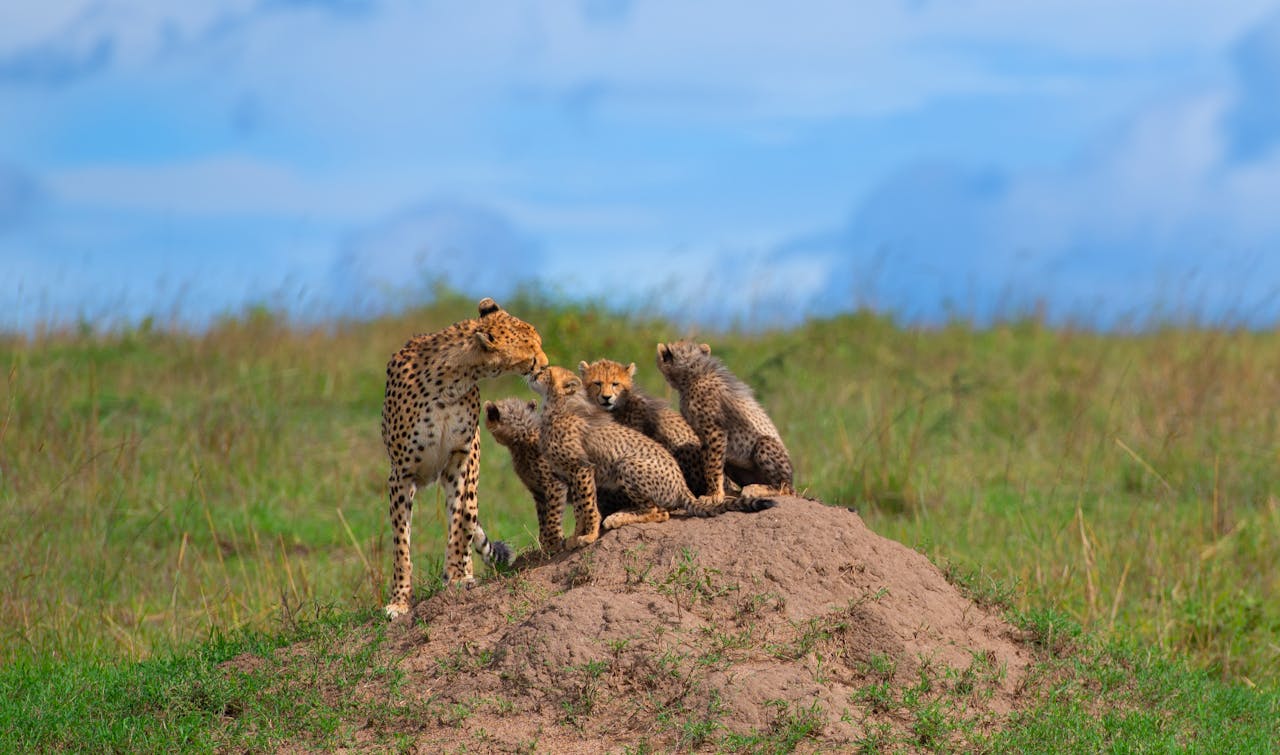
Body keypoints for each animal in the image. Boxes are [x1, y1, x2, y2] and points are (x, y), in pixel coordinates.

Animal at [380, 297, 549, 619]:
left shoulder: (459, 460)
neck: (450, 381)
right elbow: (401, 545)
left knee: (468, 520)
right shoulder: (401, 474)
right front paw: (399, 601)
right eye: (531, 351)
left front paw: (458, 577)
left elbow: (459, 524)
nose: (545, 365)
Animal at [483, 397, 649, 555]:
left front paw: (553, 544)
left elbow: (552, 517)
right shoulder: (538, 492)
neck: (523, 436)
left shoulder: (554, 485)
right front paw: (545, 544)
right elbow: (543, 518)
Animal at [655, 340, 794, 501]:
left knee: (784, 488)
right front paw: (715, 492)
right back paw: (735, 492)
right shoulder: (704, 436)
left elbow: (712, 465)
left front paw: (714, 495)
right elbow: (708, 463)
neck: (693, 373)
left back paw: (756, 489)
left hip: (765, 446)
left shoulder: (715, 432)